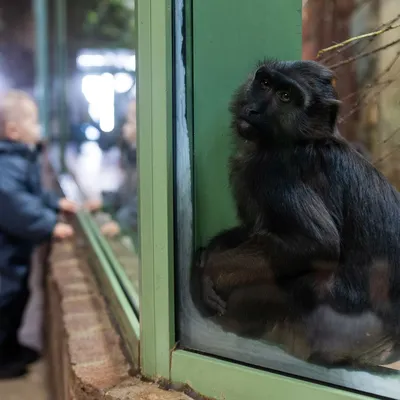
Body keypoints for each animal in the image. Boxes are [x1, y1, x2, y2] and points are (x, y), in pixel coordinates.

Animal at [195, 57, 400, 368]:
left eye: (285, 96)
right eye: (265, 83)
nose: (252, 110)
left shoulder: (273, 171)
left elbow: (318, 245)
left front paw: (210, 270)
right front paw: (211, 253)